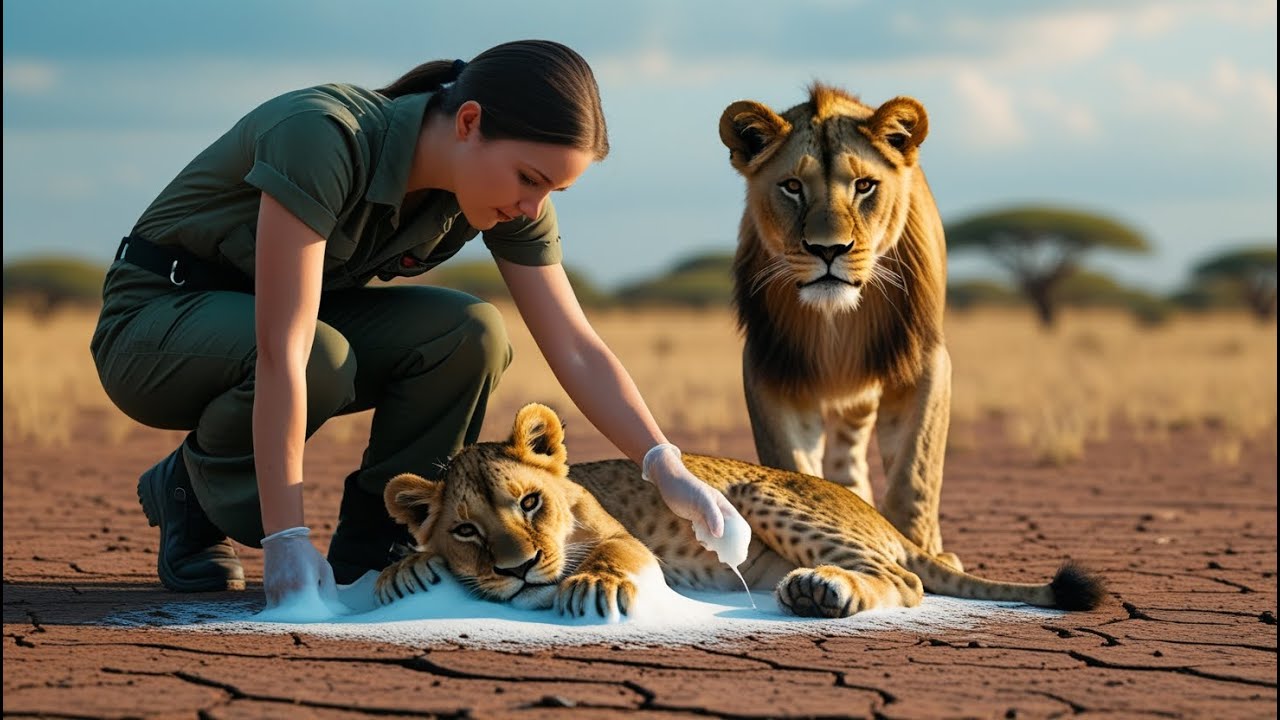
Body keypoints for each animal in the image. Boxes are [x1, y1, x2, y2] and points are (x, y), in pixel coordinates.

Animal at [373, 403, 1105, 619]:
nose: (520, 569)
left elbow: (609, 551)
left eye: (531, 503)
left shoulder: (623, 535)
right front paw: (403, 571)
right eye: (466, 530)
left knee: (905, 581)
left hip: (759, 494)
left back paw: (822, 590)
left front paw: (593, 584)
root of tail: (887, 522)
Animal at [718, 83, 956, 565]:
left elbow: (914, 475)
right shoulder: (773, 368)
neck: (837, 319)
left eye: (864, 186)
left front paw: (923, 553)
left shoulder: (923, 361)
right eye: (792, 187)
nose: (829, 249)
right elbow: (792, 465)